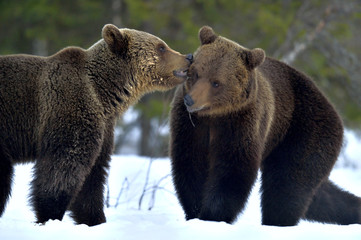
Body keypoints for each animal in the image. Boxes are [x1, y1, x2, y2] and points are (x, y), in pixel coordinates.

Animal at [0, 23, 193, 226]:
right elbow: (63, 166)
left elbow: (93, 175)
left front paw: (94, 218)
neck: (104, 94)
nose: (188, 56)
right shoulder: (69, 108)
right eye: (161, 47)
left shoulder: (104, 126)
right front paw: (49, 214)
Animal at [169, 26, 360, 227]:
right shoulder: (191, 126)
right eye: (196, 73)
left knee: (287, 185)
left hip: (304, 131)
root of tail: (333, 110)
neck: (215, 116)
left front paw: (213, 215)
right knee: (318, 196)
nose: (190, 100)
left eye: (216, 82)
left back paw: (277, 222)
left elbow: (232, 171)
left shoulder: (242, 123)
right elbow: (190, 164)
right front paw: (195, 211)